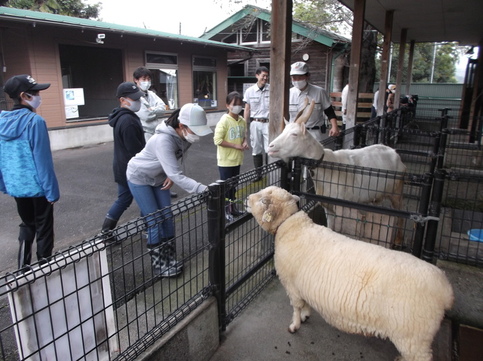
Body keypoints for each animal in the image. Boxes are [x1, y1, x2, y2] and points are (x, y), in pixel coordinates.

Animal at [248, 186, 456, 360]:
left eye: (263, 200)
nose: (246, 199)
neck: (290, 226)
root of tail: (446, 290)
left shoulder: (292, 286)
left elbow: (297, 308)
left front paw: (295, 325)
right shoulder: (301, 286)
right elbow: (305, 304)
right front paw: (306, 315)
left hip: (413, 336)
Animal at [268, 98, 408, 245]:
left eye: (294, 134)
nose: (270, 147)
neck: (327, 167)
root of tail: (396, 155)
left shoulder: (342, 208)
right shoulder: (328, 208)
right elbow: (331, 227)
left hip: (397, 190)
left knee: (401, 213)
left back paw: (398, 239)